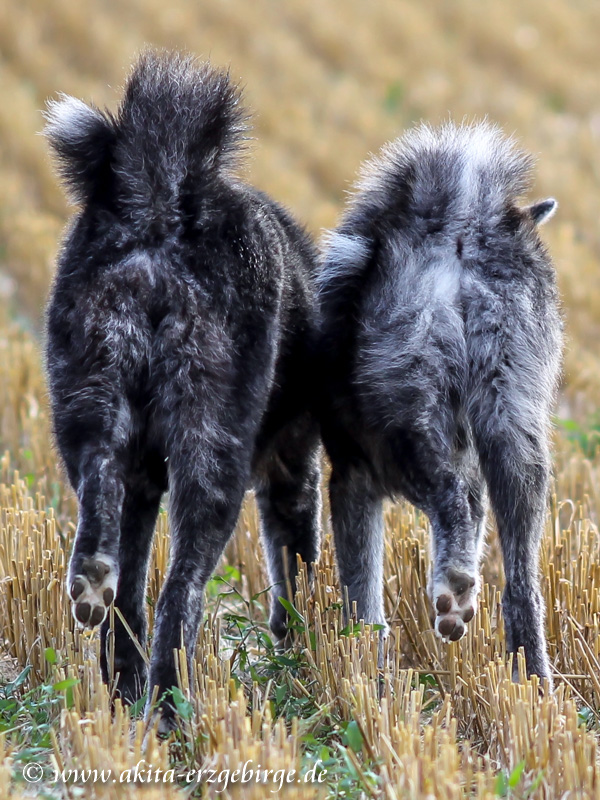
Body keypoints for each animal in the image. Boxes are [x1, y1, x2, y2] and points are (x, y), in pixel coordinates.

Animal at [44, 47, 322, 728]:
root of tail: (159, 211)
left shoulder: (145, 483)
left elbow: (131, 592)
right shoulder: (291, 471)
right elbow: (295, 567)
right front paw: (301, 646)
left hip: (91, 405)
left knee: (112, 545)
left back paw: (95, 593)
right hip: (210, 448)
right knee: (181, 592)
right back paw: (171, 711)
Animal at [318, 122, 564, 684]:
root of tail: (463, 223)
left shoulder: (353, 479)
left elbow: (363, 600)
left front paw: (365, 669)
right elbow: (474, 522)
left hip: (400, 427)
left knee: (447, 501)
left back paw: (451, 591)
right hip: (517, 434)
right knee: (522, 582)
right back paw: (531, 678)